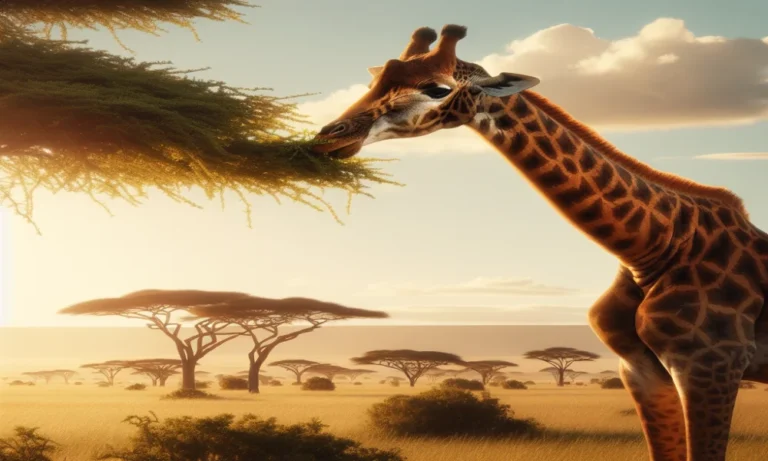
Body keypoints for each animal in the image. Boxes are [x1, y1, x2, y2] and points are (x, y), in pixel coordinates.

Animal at [311, 25, 768, 461]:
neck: (651, 247)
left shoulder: (710, 367)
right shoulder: (639, 369)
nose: (330, 137)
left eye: (437, 88)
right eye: (375, 78)